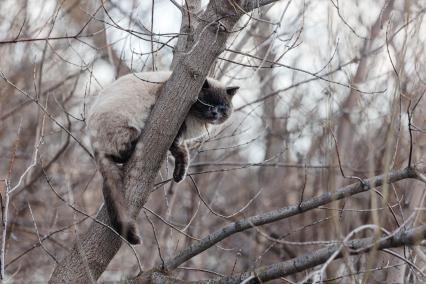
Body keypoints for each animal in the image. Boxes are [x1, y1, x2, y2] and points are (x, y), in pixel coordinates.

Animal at [88, 71, 238, 244]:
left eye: (222, 106)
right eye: (207, 103)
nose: (215, 113)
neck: (198, 121)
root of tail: (93, 144)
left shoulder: (180, 140)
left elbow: (182, 157)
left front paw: (178, 175)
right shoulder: (177, 129)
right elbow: (178, 149)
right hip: (126, 126)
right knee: (123, 152)